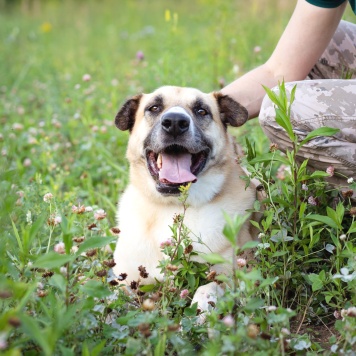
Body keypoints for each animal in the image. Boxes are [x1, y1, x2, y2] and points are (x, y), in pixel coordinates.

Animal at [113, 85, 256, 318]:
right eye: (154, 107)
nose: (175, 123)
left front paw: (197, 317)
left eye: (201, 110)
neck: (169, 207)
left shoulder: (235, 273)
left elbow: (207, 288)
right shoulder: (125, 279)